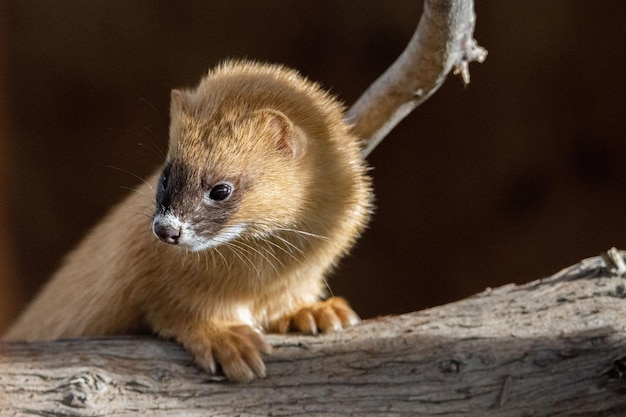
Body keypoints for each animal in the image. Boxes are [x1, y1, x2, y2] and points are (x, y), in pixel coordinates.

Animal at [3, 60, 370, 382]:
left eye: (221, 189)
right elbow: (175, 309)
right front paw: (226, 340)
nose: (165, 229)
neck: (257, 280)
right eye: (166, 175)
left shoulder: (296, 278)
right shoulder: (143, 272)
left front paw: (315, 312)